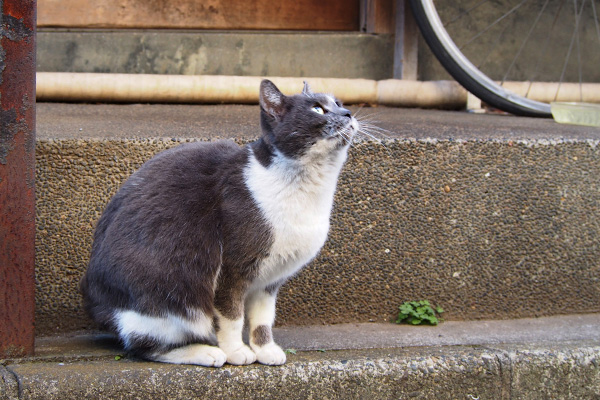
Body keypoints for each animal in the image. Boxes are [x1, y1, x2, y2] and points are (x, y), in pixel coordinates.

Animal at [81, 78, 358, 366]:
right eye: (317, 109)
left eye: (338, 103)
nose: (348, 113)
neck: (307, 189)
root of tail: (95, 304)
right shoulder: (230, 269)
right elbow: (231, 316)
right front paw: (236, 351)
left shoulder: (270, 280)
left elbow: (263, 319)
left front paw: (265, 350)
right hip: (163, 297)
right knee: (145, 345)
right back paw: (207, 352)